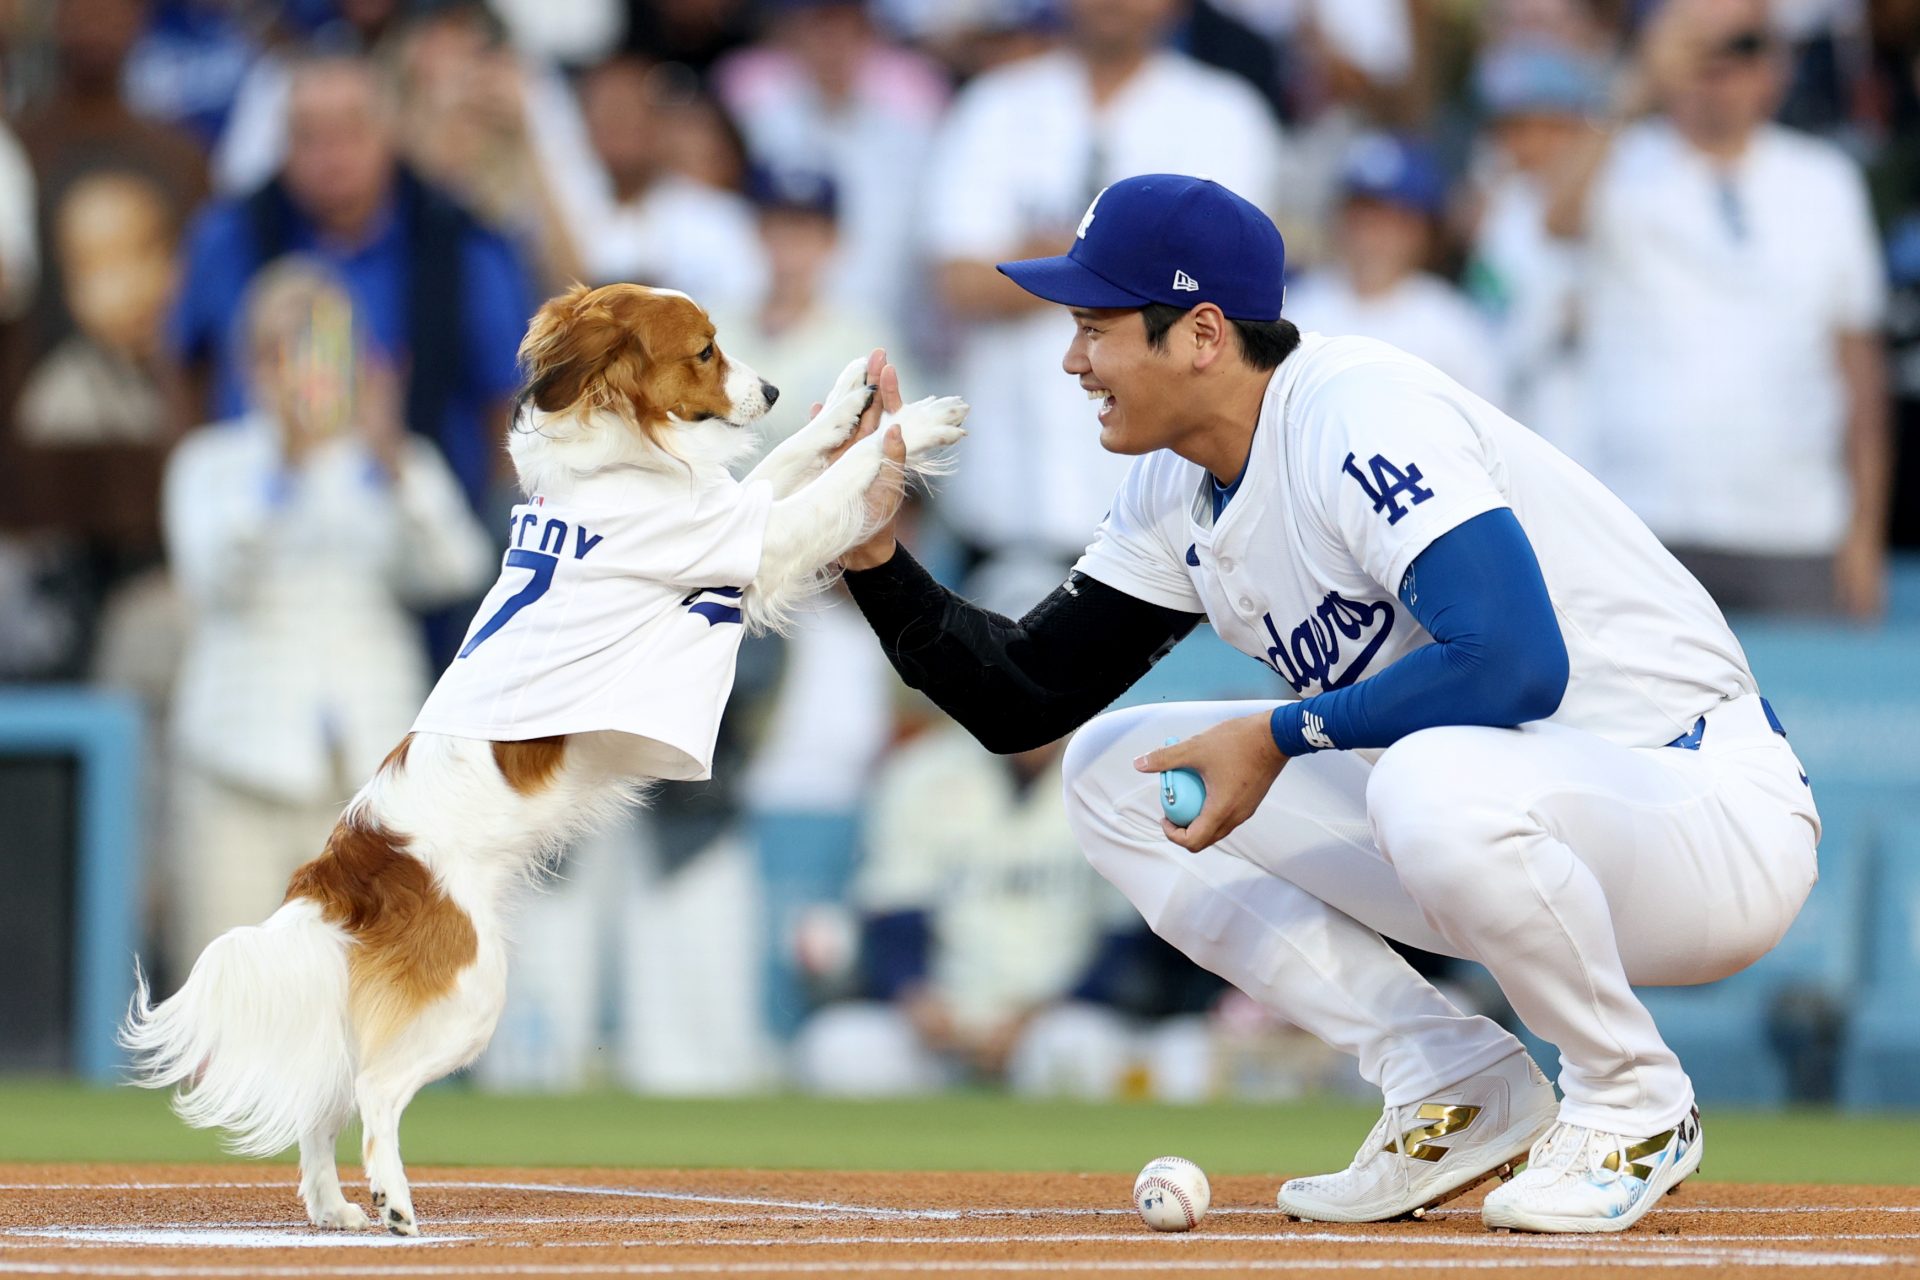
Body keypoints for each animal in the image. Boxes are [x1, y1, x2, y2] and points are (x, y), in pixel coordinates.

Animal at [121, 285, 967, 1235]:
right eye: (706, 351)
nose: (776, 389)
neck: (611, 464)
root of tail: (344, 867)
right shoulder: (751, 540)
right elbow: (832, 484)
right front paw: (915, 425)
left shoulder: (729, 516)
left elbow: (788, 461)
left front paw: (853, 400)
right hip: (472, 996)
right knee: (375, 1091)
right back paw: (393, 1200)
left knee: (326, 1096)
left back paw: (333, 1208)